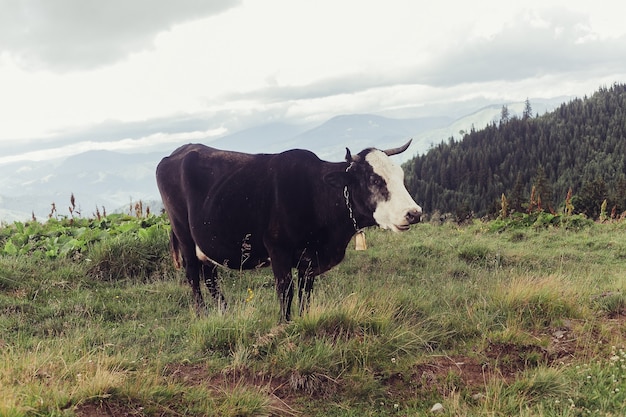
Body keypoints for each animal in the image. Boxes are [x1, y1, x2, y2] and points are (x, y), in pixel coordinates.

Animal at [155, 141, 420, 320]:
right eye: (374, 180)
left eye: (401, 176)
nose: (414, 213)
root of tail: (178, 152)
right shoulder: (278, 249)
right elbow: (286, 292)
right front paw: (285, 324)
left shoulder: (309, 260)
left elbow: (305, 293)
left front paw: (302, 320)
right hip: (183, 235)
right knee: (193, 276)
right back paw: (202, 315)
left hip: (206, 242)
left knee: (210, 276)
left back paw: (224, 313)